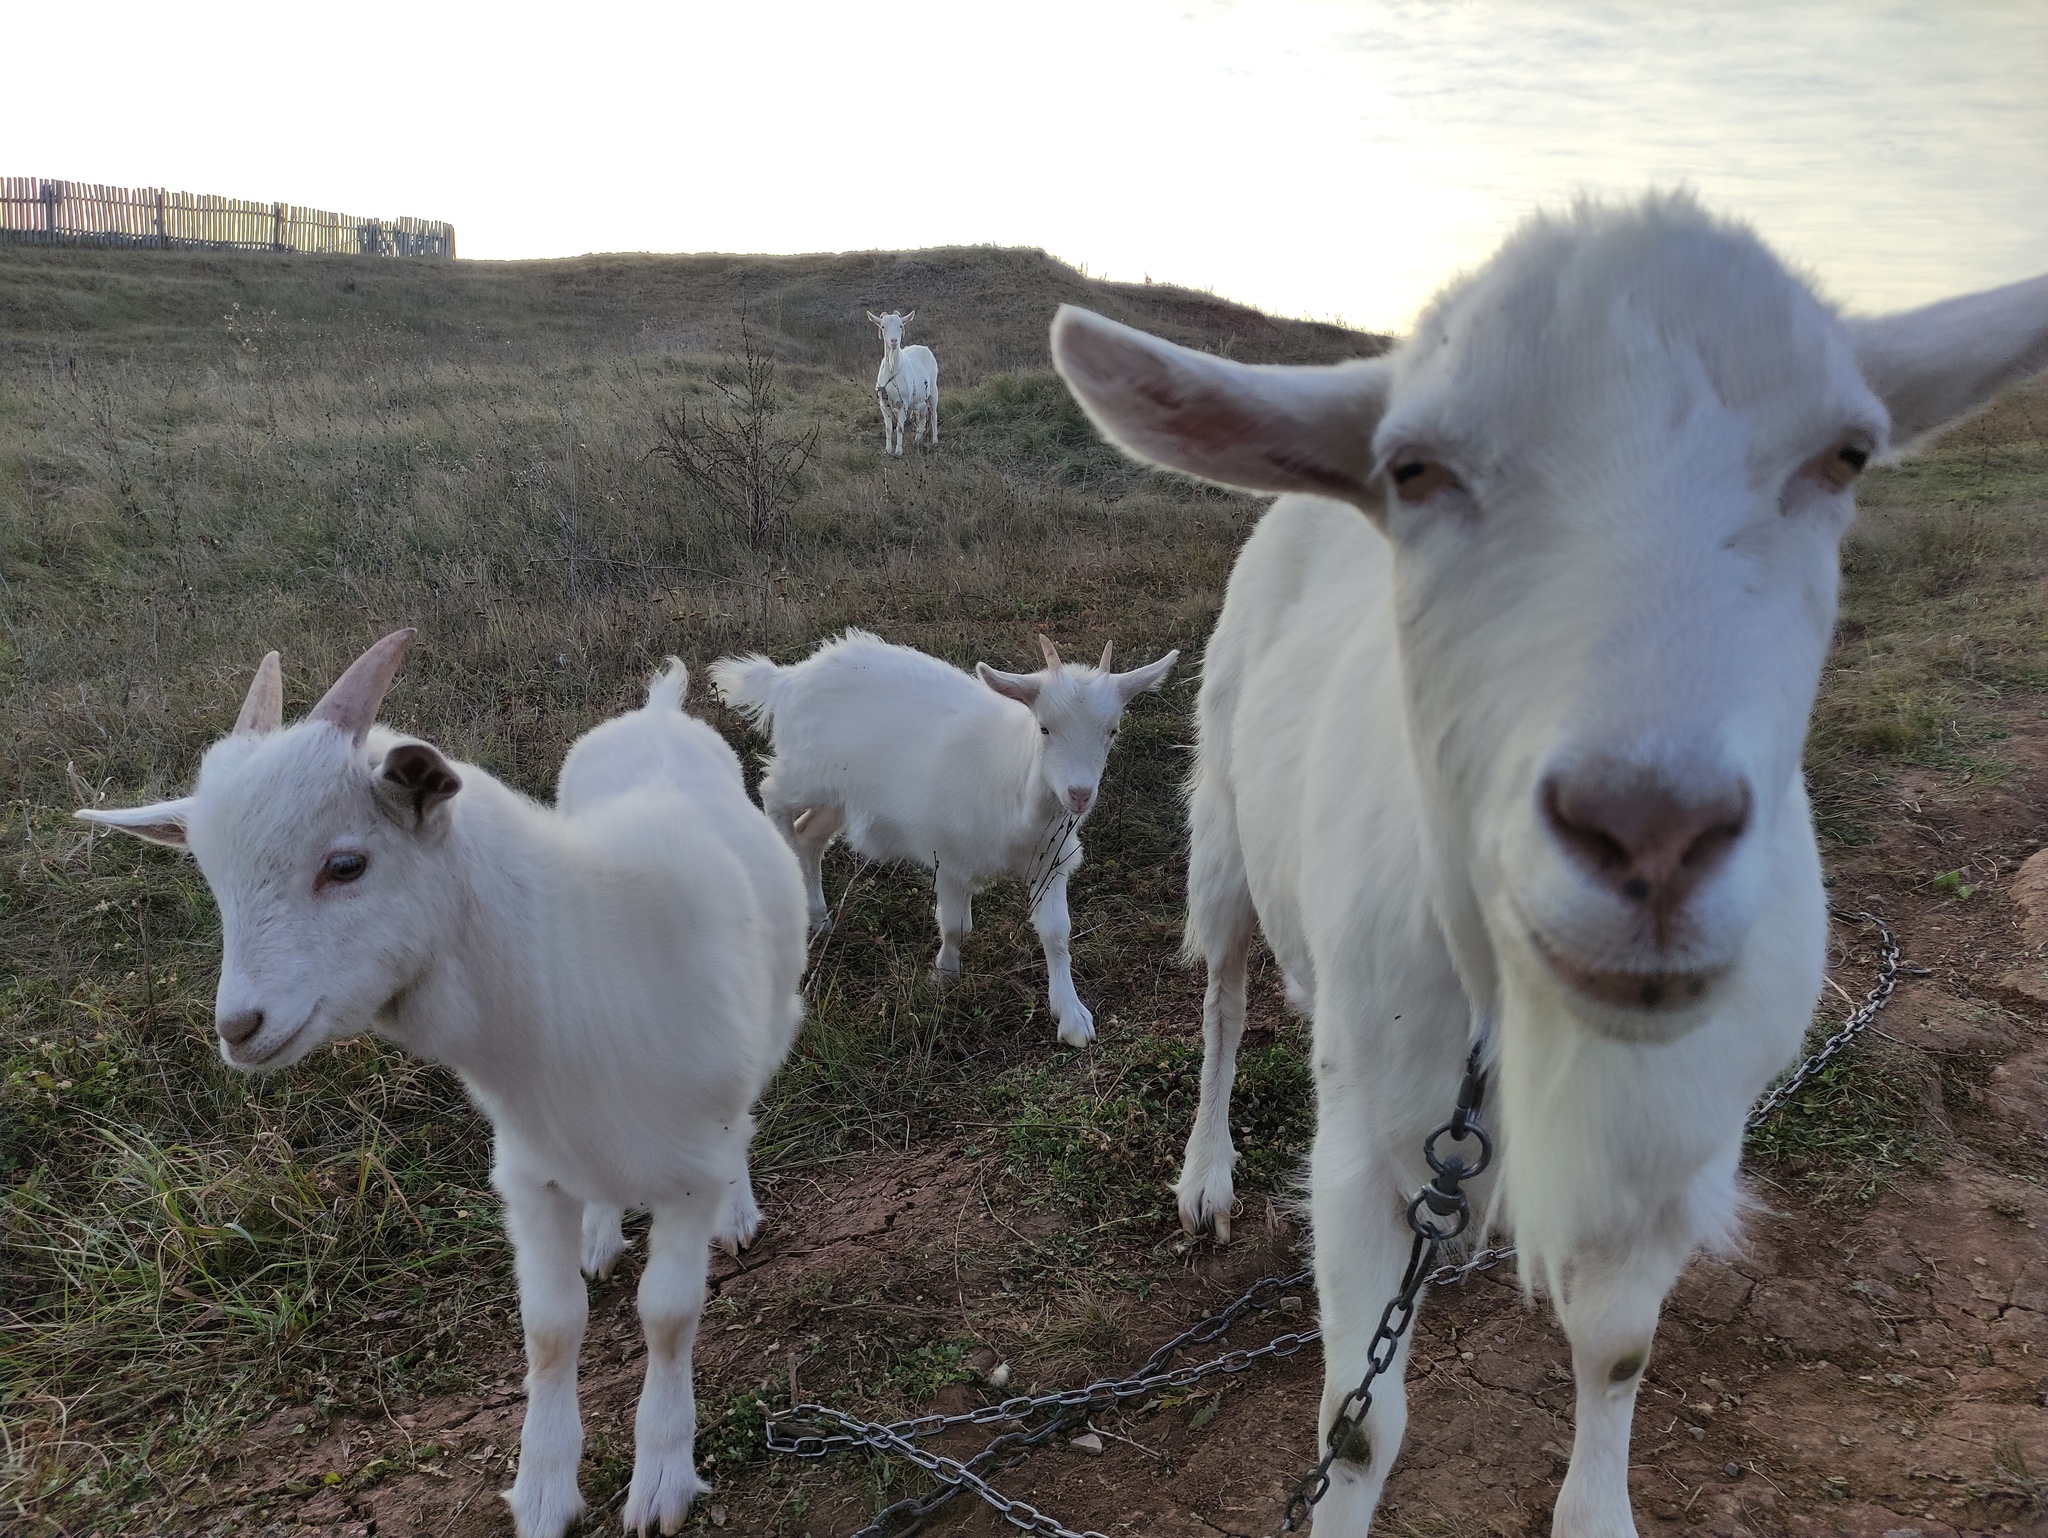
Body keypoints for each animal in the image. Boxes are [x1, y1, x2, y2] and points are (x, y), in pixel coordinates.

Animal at [79, 626, 802, 1538]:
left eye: (346, 864)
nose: (239, 1028)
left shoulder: (687, 1168)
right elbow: (550, 1328)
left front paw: (662, 1478)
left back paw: (735, 1215)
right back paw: (600, 1234)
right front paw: (542, 1489)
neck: (582, 957)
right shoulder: (529, 1172)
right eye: (213, 879)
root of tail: (659, 710)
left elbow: (669, 1317)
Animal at [712, 626, 1179, 1048]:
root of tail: (788, 678)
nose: (1079, 794)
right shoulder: (950, 857)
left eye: (1112, 731)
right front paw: (945, 977)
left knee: (809, 835)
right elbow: (955, 926)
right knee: (772, 796)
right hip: (806, 772)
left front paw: (1072, 1016)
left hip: (841, 795)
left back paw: (819, 917)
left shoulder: (1051, 862)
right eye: (1045, 728)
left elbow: (1057, 934)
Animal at [876, 309, 946, 454]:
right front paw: (888, 450)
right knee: (922, 418)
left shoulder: (903, 402)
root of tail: (923, 347)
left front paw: (898, 451)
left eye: (900, 326)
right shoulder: (883, 402)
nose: (894, 341)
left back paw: (934, 441)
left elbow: (900, 428)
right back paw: (917, 440)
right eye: (883, 326)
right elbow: (888, 427)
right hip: (919, 400)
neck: (892, 369)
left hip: (933, 391)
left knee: (934, 415)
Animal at [1056, 195, 2048, 1538]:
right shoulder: (1363, 1148)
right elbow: (1353, 1427)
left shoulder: (1666, 1148)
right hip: (1218, 828)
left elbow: (1616, 1349)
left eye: (1844, 455)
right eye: (1413, 469)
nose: (1650, 833)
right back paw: (1204, 1173)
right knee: (1220, 992)